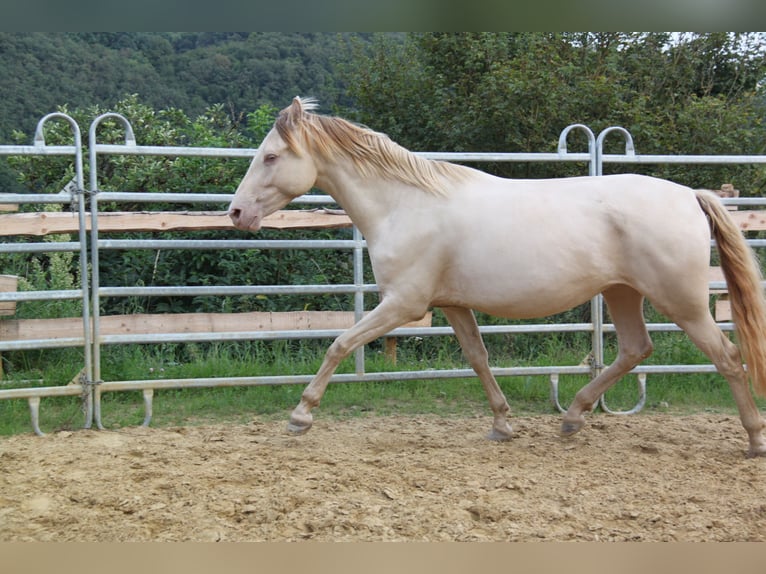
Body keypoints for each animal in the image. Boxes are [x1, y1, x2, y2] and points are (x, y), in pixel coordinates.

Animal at [228, 99, 766, 460]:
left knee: (728, 356)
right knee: (636, 349)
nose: (236, 213)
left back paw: (754, 438)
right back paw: (572, 417)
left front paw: (300, 416)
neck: (406, 205)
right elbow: (478, 358)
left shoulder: (404, 304)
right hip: (622, 293)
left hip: (682, 301)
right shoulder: (452, 304)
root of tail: (690, 195)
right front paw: (503, 425)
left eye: (271, 156)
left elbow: (339, 344)